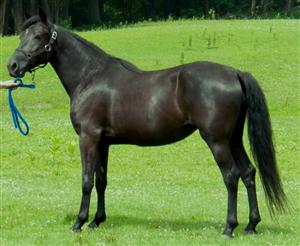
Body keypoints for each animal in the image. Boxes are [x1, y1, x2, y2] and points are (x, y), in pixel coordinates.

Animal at [7, 9, 288, 236]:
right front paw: (97, 221)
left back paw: (229, 227)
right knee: (249, 173)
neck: (90, 77)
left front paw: (79, 223)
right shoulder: (103, 143)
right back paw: (251, 225)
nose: (13, 65)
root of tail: (235, 73)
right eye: (22, 36)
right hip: (234, 139)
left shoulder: (88, 138)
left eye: (39, 36)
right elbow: (101, 180)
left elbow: (86, 181)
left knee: (231, 176)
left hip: (217, 141)